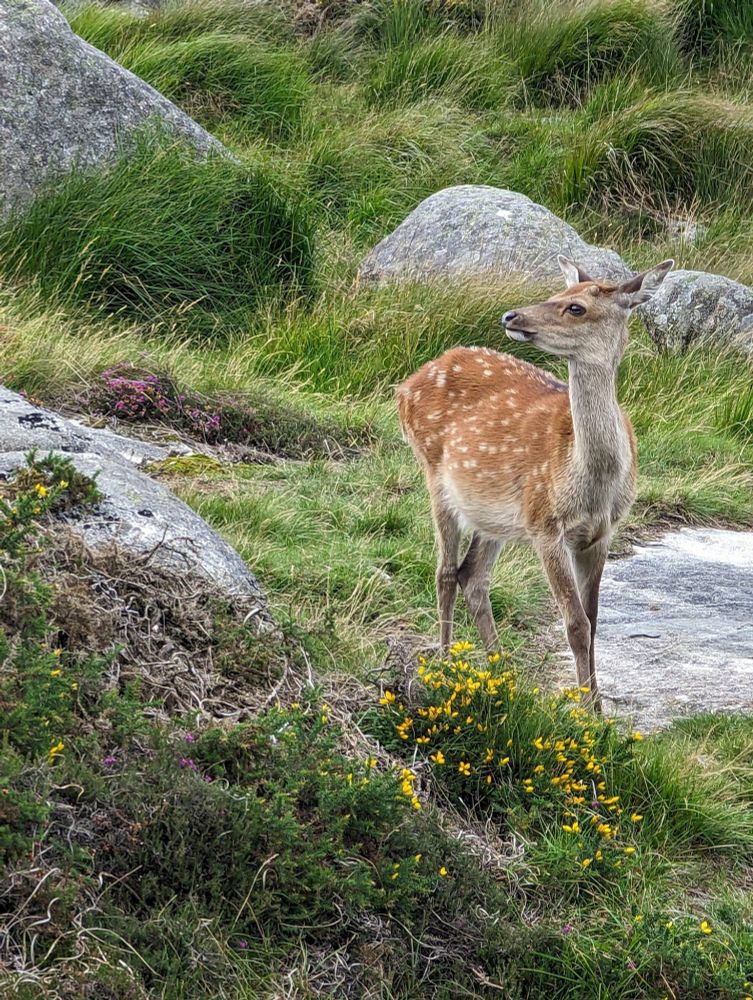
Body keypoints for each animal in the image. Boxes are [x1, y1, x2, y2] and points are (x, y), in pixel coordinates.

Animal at [396, 256, 673, 710]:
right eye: (556, 292)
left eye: (575, 306)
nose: (511, 315)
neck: (591, 484)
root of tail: (406, 385)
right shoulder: (546, 525)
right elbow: (575, 622)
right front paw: (587, 711)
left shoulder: (602, 533)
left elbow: (594, 619)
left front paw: (598, 705)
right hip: (435, 476)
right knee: (444, 572)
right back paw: (443, 665)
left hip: (495, 515)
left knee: (473, 576)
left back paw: (502, 673)